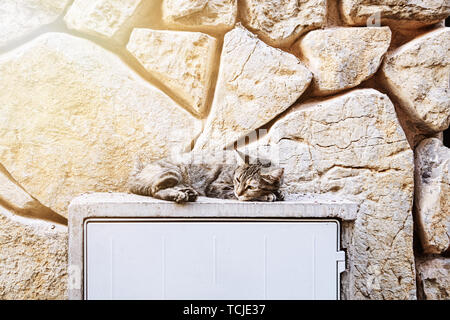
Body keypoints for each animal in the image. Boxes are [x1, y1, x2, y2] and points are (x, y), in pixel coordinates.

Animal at [126, 151, 284, 202]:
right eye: (238, 180)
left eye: (251, 186)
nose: (239, 191)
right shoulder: (215, 187)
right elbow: (242, 196)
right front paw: (267, 195)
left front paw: (278, 192)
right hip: (174, 171)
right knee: (155, 189)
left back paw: (185, 193)